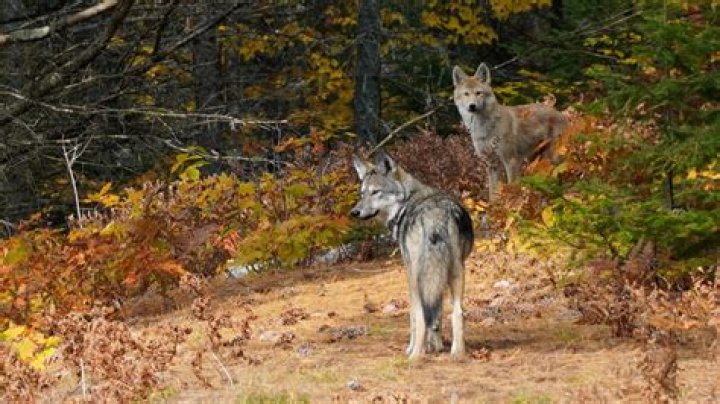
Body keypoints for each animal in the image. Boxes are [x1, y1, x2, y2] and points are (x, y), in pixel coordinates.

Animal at [350, 152, 474, 360]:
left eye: (376, 192)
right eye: (362, 194)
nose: (354, 212)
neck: (406, 200)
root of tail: (435, 215)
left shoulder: (408, 270)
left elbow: (414, 317)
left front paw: (415, 348)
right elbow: (437, 312)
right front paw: (436, 346)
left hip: (417, 276)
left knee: (420, 314)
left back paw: (414, 355)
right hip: (456, 272)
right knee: (457, 311)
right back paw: (457, 353)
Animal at [453, 63, 568, 200]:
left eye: (478, 93)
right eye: (466, 94)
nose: (472, 106)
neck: (485, 127)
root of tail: (561, 114)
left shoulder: (511, 161)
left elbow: (511, 187)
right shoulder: (491, 165)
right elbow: (493, 192)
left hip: (554, 155)